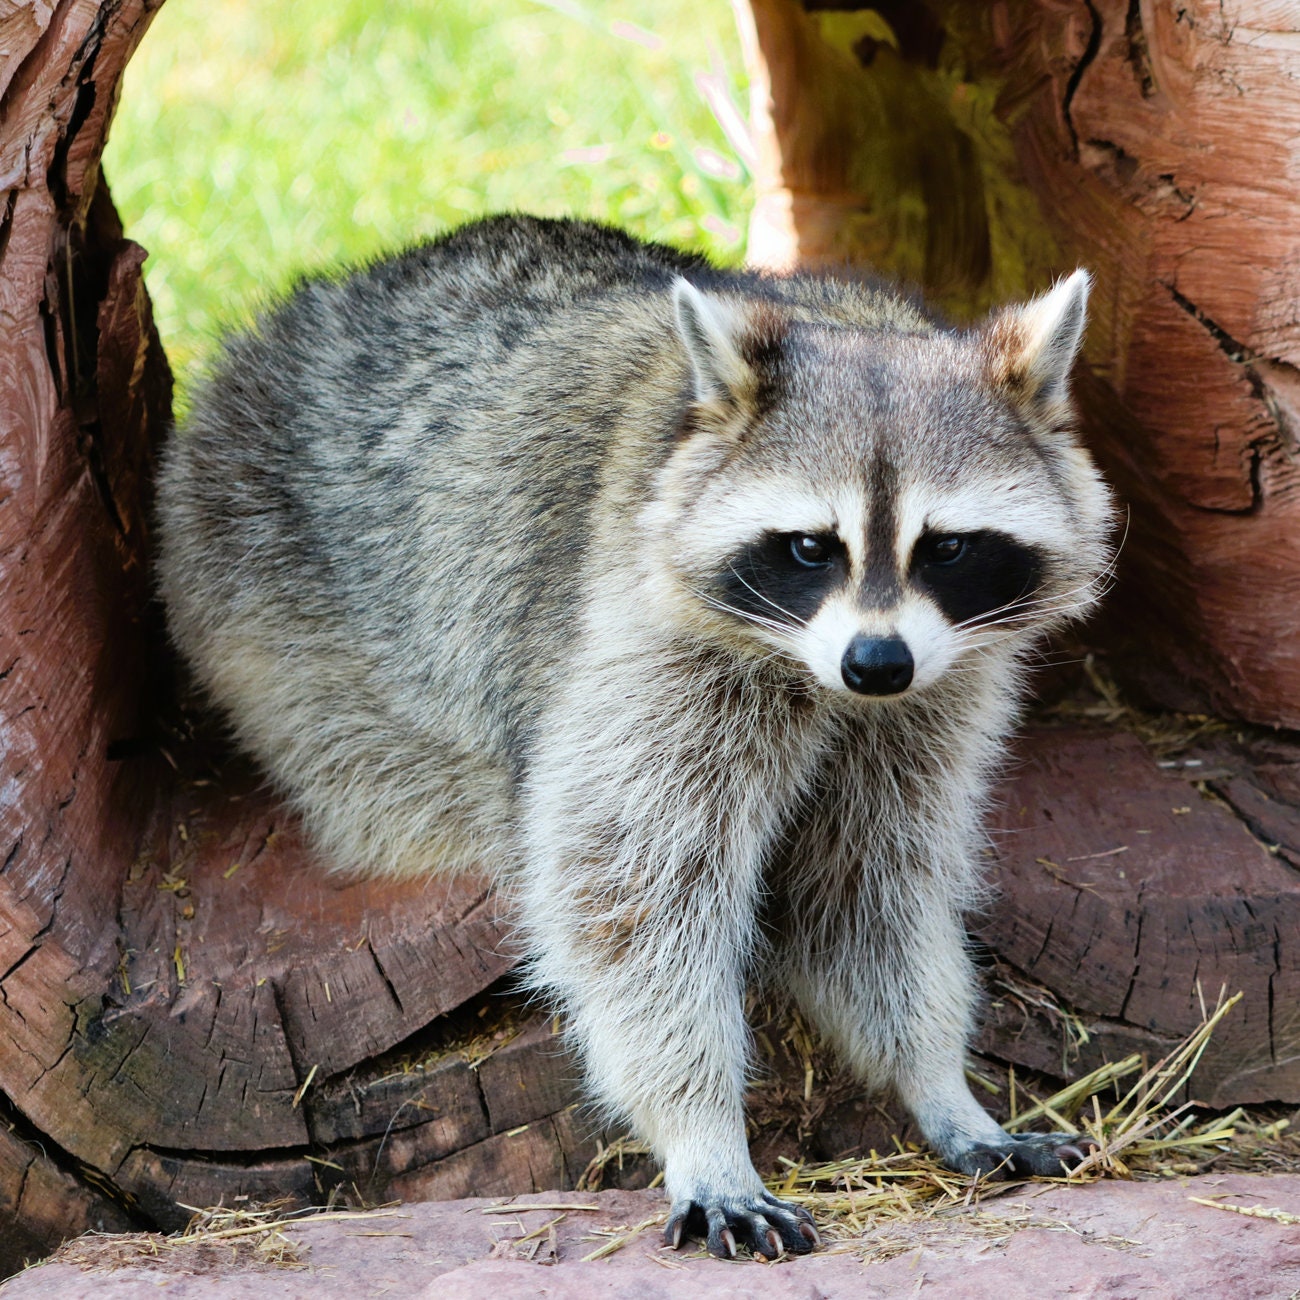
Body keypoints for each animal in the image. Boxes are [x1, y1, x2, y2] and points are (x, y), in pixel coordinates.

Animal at [156, 215, 1114, 1260]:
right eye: (810, 548)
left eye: (946, 548)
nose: (876, 662)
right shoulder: (641, 639)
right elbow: (627, 894)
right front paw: (704, 1131)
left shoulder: (932, 697)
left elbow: (866, 882)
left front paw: (939, 1081)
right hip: (262, 596)